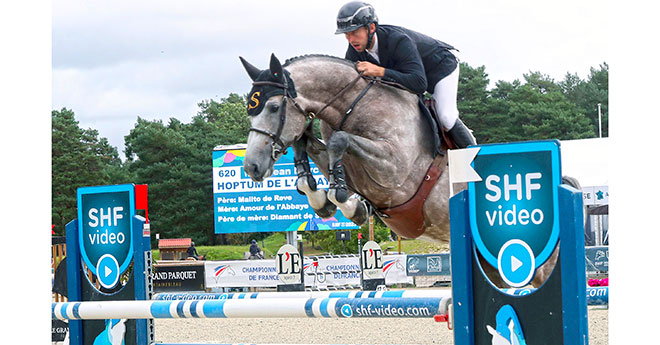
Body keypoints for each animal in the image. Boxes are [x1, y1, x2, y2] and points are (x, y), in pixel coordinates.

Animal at [240, 52, 576, 286]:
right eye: (250, 111)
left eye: (273, 107)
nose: (252, 168)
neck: (353, 107)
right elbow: (310, 145)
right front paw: (327, 200)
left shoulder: (393, 170)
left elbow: (339, 141)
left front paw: (341, 199)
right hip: (492, 267)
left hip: (538, 265)